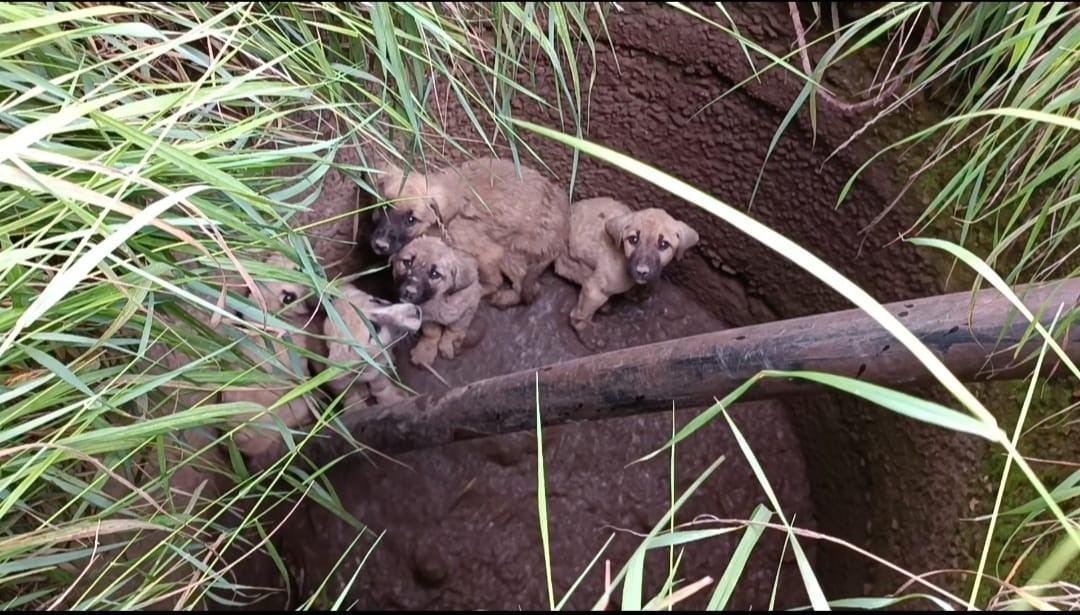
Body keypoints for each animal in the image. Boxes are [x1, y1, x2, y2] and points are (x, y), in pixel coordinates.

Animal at [390, 234, 483, 367]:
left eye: (435, 274)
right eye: (408, 263)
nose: (409, 291)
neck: (438, 300)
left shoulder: (471, 303)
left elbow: (455, 327)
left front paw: (450, 343)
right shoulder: (427, 316)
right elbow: (432, 332)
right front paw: (425, 350)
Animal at [557, 199, 699, 348]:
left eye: (664, 244)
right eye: (633, 239)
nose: (641, 271)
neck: (623, 256)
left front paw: (637, 293)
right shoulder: (594, 290)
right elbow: (581, 314)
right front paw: (586, 332)